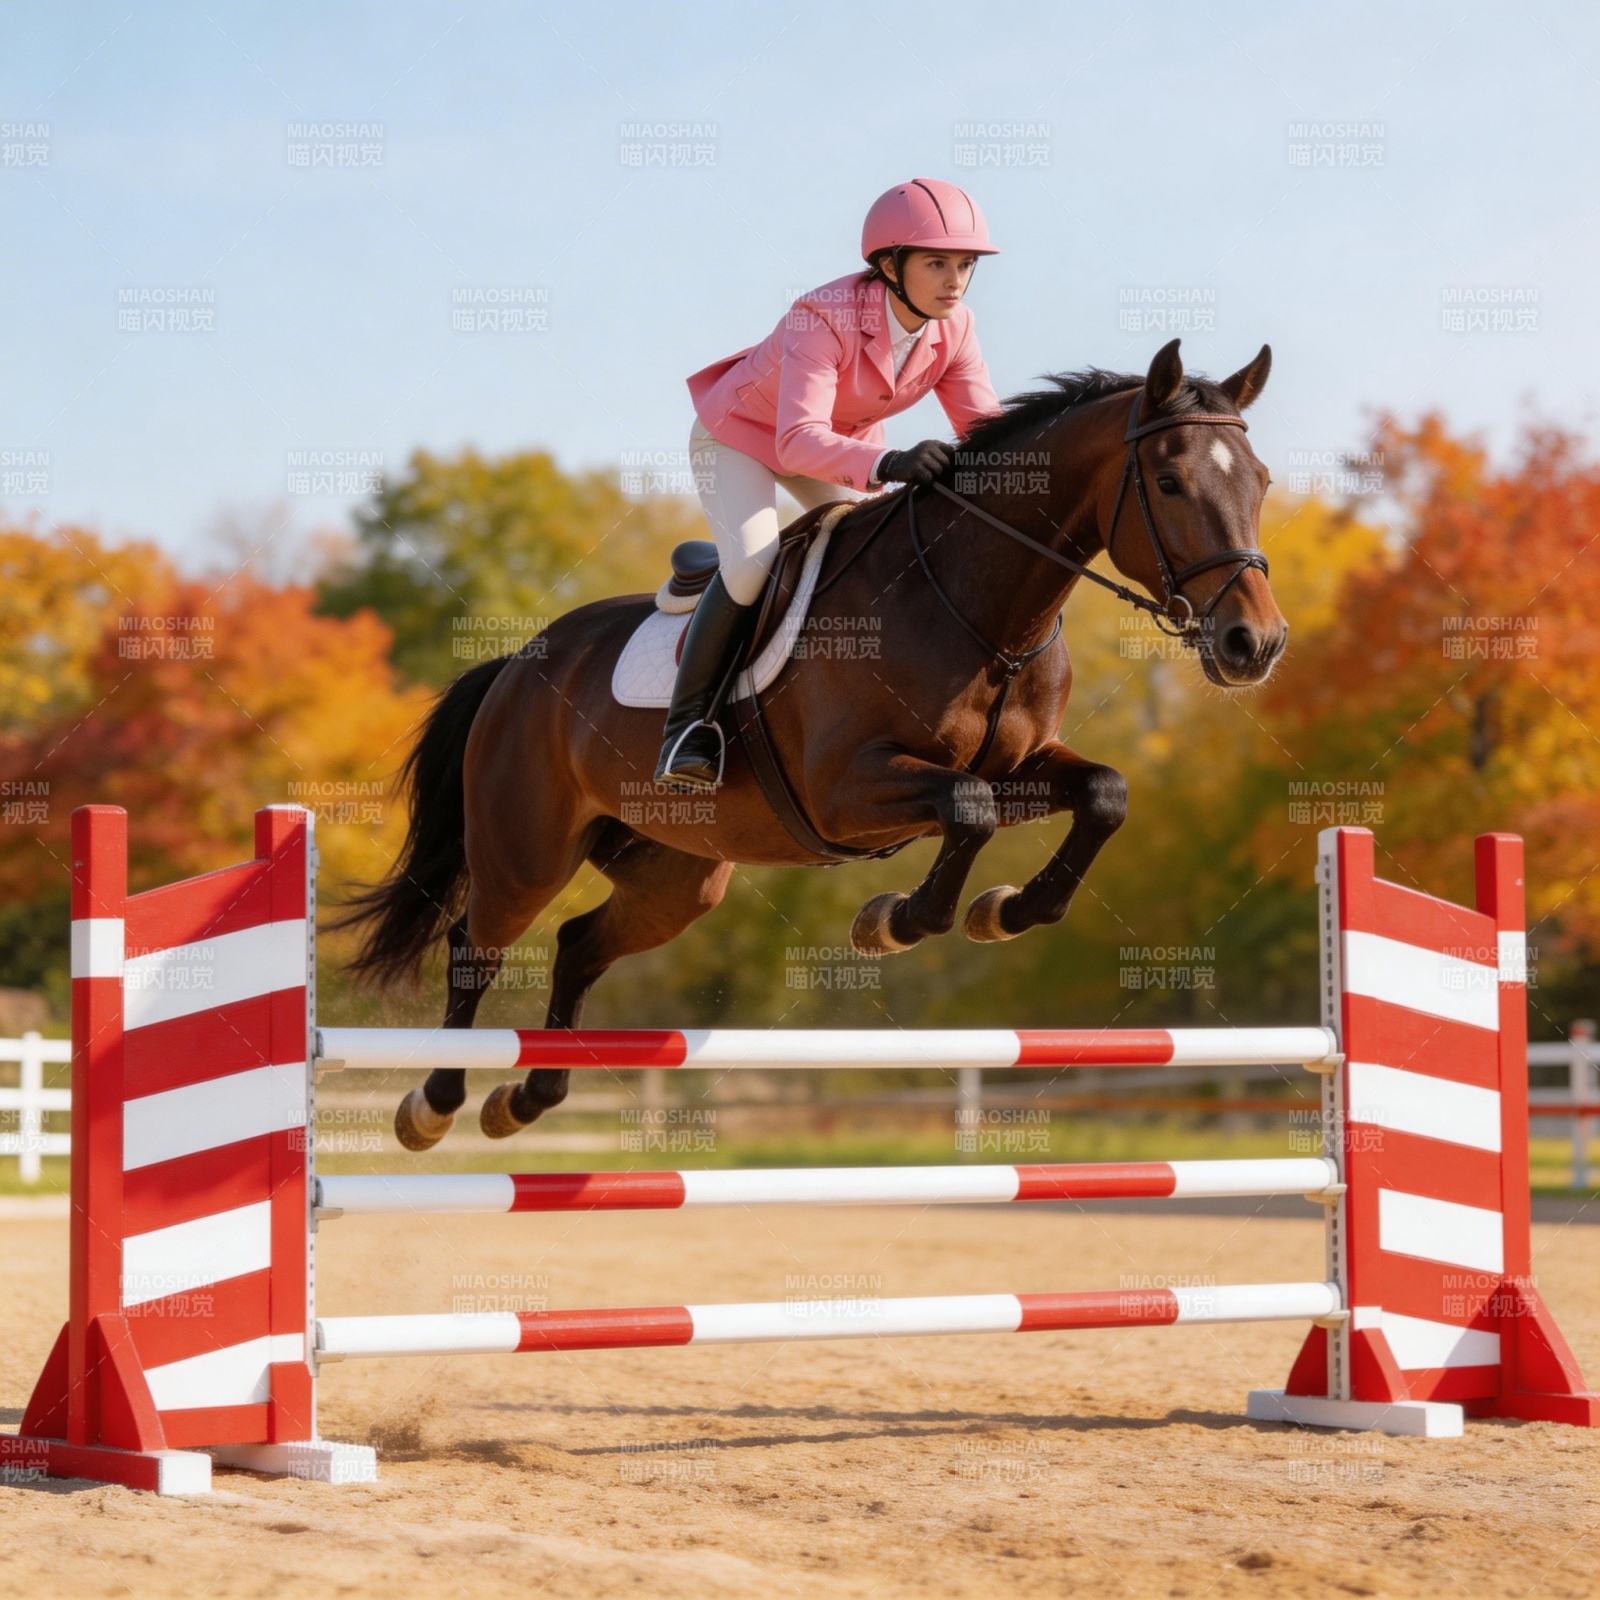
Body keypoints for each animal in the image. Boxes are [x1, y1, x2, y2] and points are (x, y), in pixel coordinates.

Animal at [336, 338, 1285, 1150]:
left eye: (1264, 481)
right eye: (1168, 480)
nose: (1255, 645)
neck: (981, 609)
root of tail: (518, 663)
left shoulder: (1017, 768)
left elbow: (1102, 794)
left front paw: (1000, 912)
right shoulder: (848, 789)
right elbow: (968, 809)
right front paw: (892, 923)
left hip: (677, 875)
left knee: (576, 945)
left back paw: (529, 1096)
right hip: (525, 850)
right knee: (475, 945)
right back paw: (437, 1102)